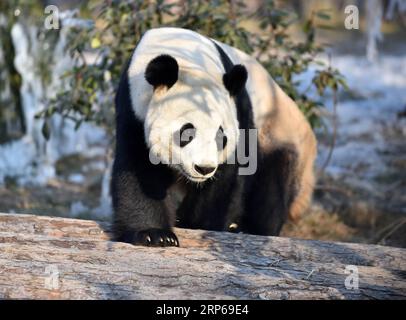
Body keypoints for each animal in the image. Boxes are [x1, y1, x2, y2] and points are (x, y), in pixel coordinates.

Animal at [112, 28, 318, 248]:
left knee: (272, 191)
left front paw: (199, 226)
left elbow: (226, 182)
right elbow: (140, 169)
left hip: (278, 135)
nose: (204, 169)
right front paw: (156, 235)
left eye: (221, 137)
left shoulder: (239, 113)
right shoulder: (133, 108)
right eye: (186, 132)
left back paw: (246, 229)